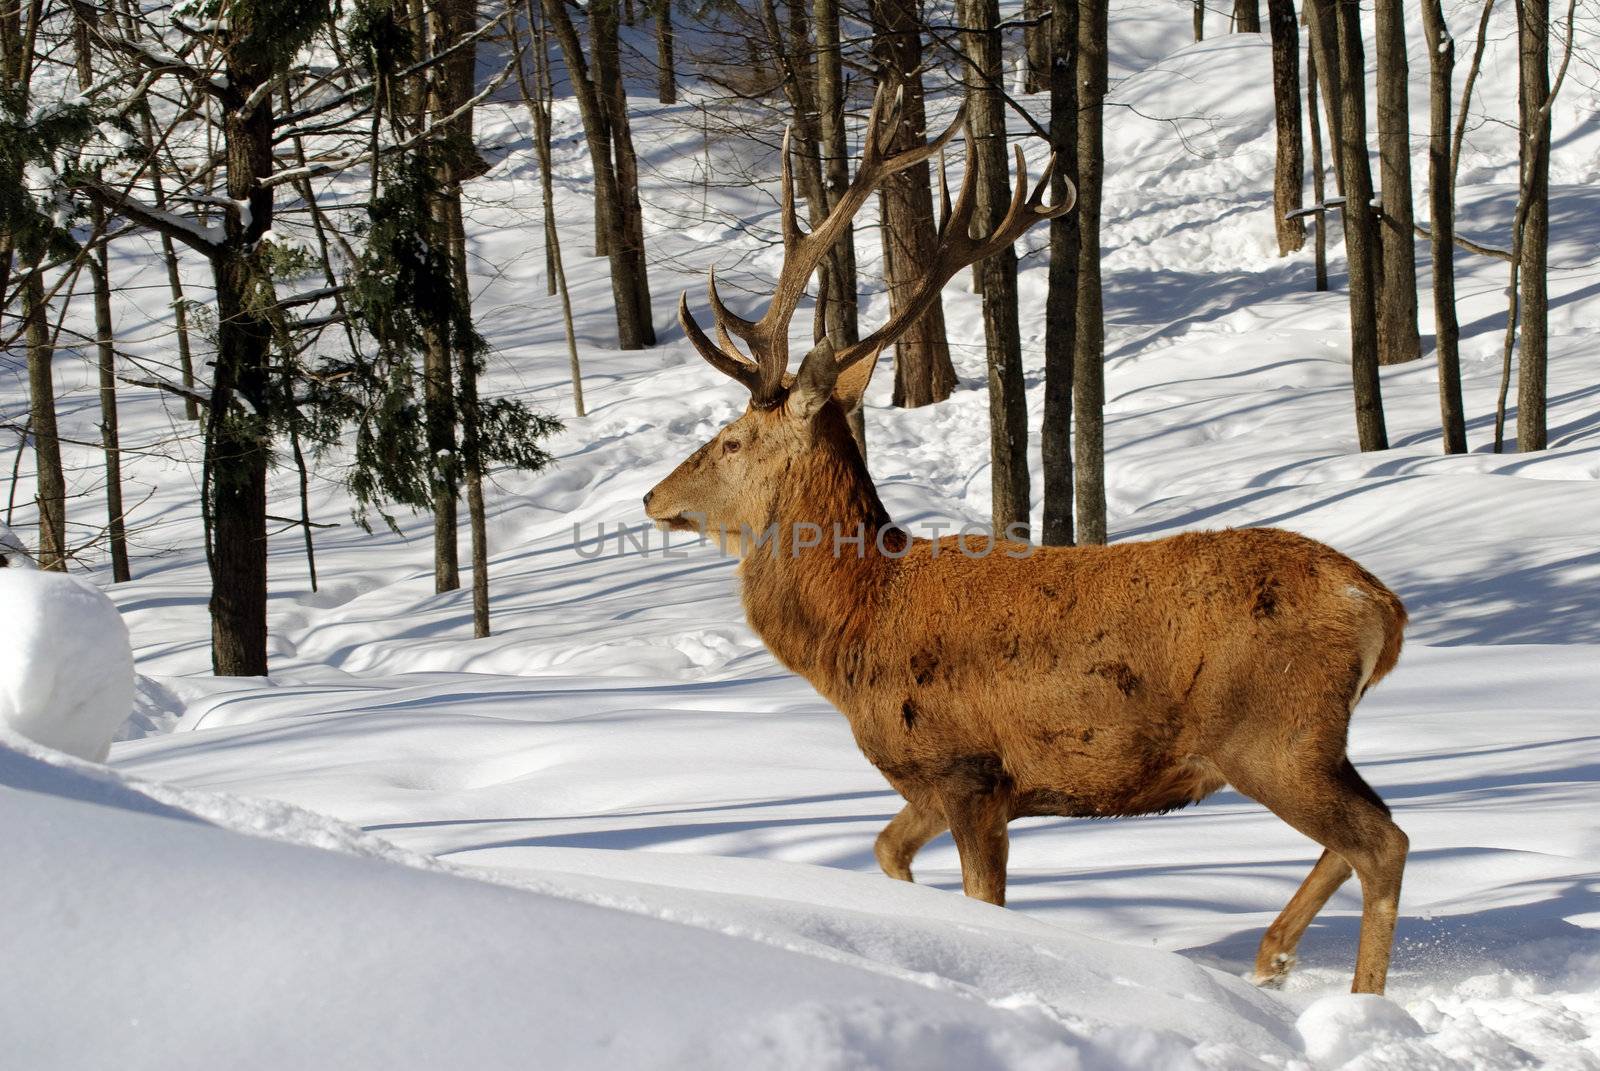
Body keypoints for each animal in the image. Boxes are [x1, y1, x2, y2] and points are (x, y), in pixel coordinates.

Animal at [643, 85, 1408, 992]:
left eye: (731, 440)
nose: (654, 496)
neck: (858, 623)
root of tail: (1382, 606)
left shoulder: (970, 768)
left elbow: (981, 901)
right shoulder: (933, 782)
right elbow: (885, 851)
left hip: (1276, 729)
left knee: (1382, 841)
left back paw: (1356, 998)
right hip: (1304, 739)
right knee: (1363, 837)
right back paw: (1271, 958)